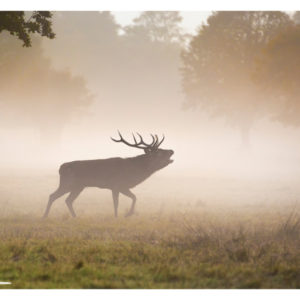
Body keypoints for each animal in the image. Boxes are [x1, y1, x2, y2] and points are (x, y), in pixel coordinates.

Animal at [42, 132, 173, 218]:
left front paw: (128, 214)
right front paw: (117, 216)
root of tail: (60, 168)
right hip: (68, 183)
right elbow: (116, 202)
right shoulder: (116, 185)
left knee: (68, 200)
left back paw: (75, 216)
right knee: (53, 196)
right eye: (159, 152)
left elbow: (134, 197)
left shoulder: (123, 187)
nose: (172, 150)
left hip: (78, 187)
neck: (134, 172)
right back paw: (45, 215)